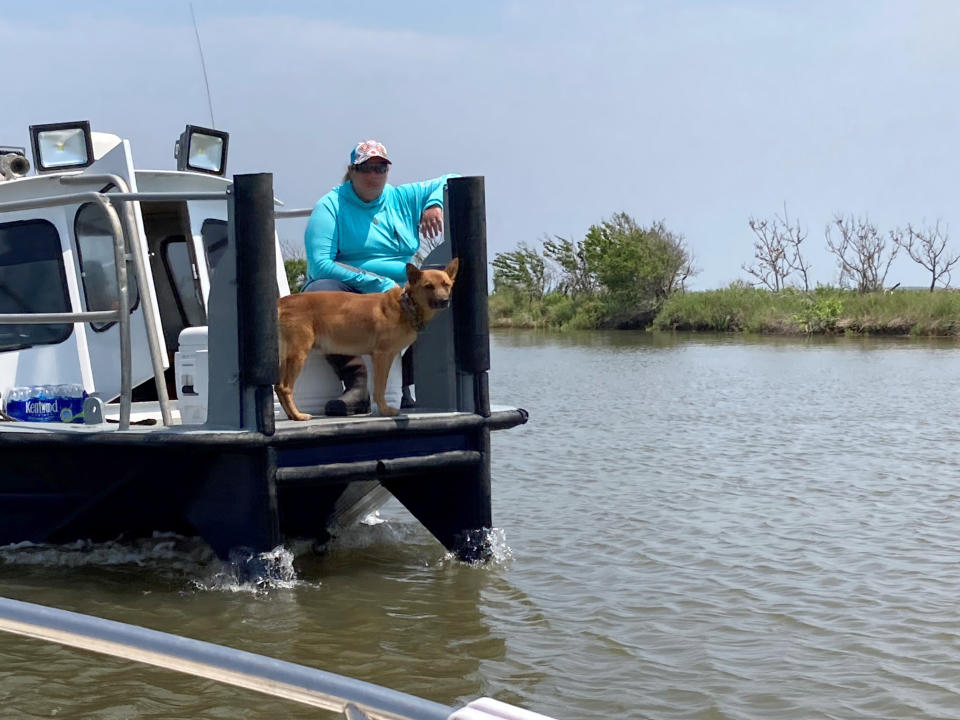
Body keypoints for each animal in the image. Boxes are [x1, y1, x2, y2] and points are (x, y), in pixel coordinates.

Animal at [276, 258, 460, 420]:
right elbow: (380, 388)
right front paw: (385, 411)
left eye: (446, 285)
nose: (444, 301)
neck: (406, 305)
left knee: (278, 387)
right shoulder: (381, 355)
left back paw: (292, 415)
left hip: (285, 357)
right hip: (297, 354)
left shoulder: (388, 356)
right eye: (428, 286)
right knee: (285, 388)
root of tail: (282, 302)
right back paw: (298, 415)